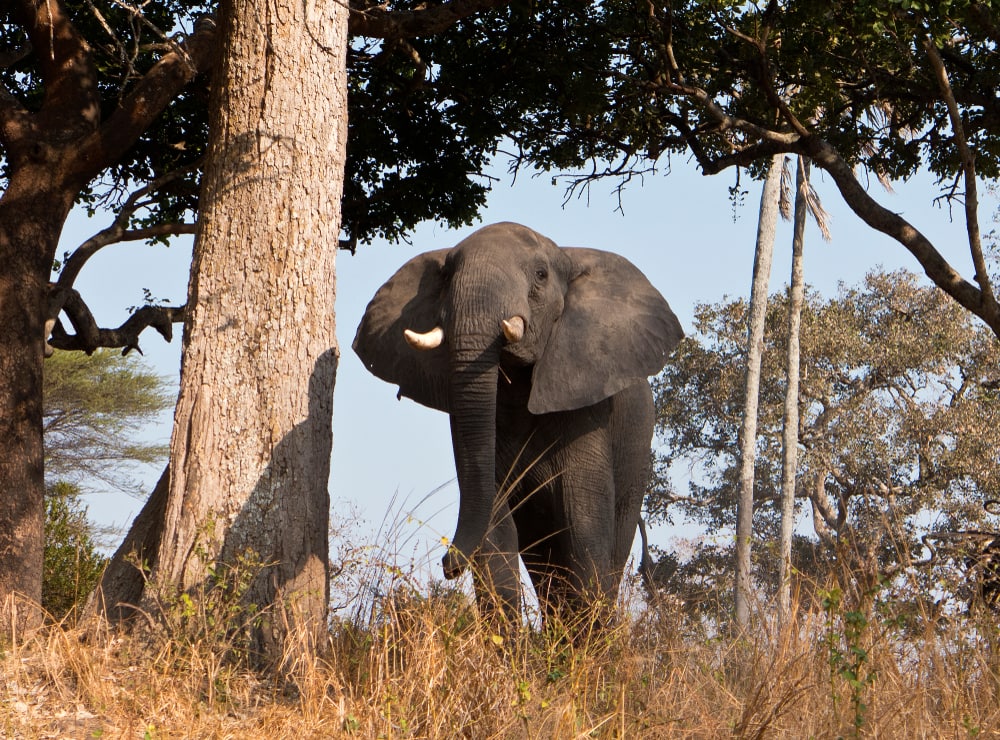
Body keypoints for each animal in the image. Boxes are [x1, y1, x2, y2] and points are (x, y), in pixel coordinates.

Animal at [353, 222, 683, 627]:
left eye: (540, 276)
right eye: (445, 276)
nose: (446, 563)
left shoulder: (586, 397)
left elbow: (583, 520)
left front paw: (590, 643)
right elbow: (493, 522)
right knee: (542, 563)